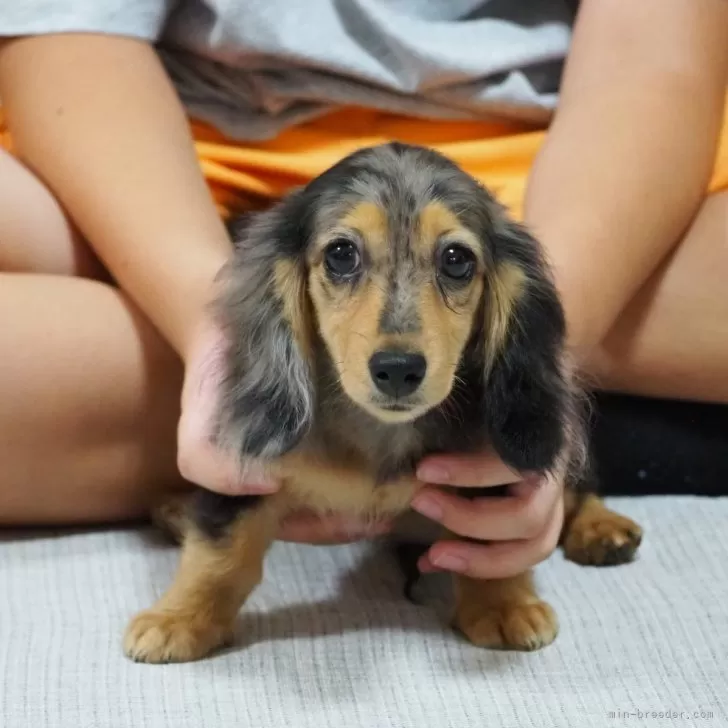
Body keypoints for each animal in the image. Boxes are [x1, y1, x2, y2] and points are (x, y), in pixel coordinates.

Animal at [125, 142, 644, 664]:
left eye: (456, 258)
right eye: (341, 254)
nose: (398, 369)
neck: (379, 434)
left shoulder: (487, 468)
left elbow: (487, 540)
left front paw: (502, 605)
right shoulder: (247, 472)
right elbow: (222, 547)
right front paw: (180, 618)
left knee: (579, 485)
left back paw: (602, 527)